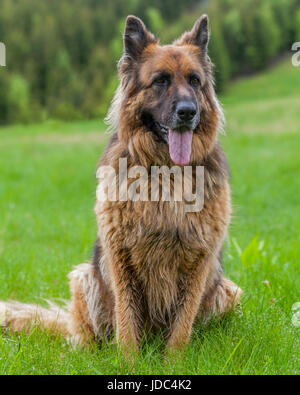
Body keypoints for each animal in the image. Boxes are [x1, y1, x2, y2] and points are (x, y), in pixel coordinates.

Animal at [0, 15, 241, 356]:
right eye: (160, 81)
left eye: (195, 81)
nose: (187, 112)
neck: (165, 173)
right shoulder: (120, 254)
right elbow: (126, 322)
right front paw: (129, 362)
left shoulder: (199, 259)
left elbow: (182, 326)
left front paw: (174, 361)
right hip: (84, 277)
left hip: (228, 291)